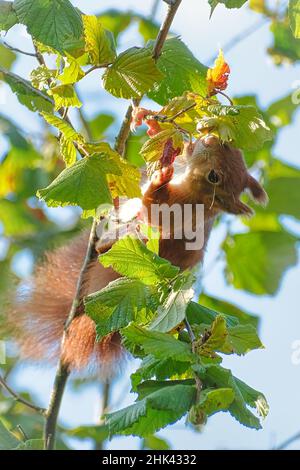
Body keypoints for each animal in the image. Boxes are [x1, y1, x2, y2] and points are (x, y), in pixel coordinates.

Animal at [6, 135, 268, 370]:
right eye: (231, 145)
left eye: (214, 177)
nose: (210, 138)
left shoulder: (184, 211)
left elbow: (157, 212)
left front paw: (161, 177)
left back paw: (105, 242)